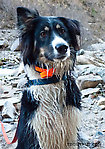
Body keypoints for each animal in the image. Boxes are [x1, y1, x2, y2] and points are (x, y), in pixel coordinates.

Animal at [16, 7, 81, 149]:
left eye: (62, 31)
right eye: (43, 33)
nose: (62, 47)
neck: (51, 79)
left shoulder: (71, 129)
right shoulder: (40, 132)